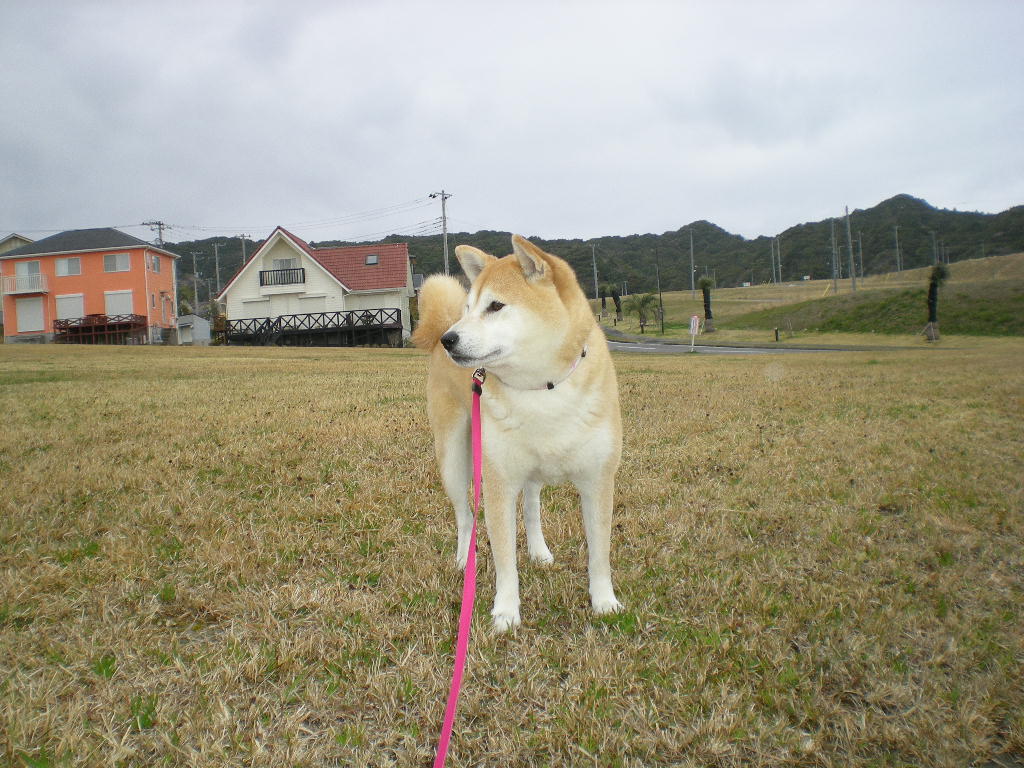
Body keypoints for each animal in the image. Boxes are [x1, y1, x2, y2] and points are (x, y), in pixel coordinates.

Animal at [409, 237, 618, 634]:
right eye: (469, 308)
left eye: (495, 306)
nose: (449, 339)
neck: (542, 390)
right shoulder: (499, 483)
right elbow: (505, 558)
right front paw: (506, 611)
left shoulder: (597, 479)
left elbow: (599, 552)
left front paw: (604, 601)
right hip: (454, 459)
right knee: (465, 516)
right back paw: (465, 561)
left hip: (531, 472)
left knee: (532, 508)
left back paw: (539, 551)